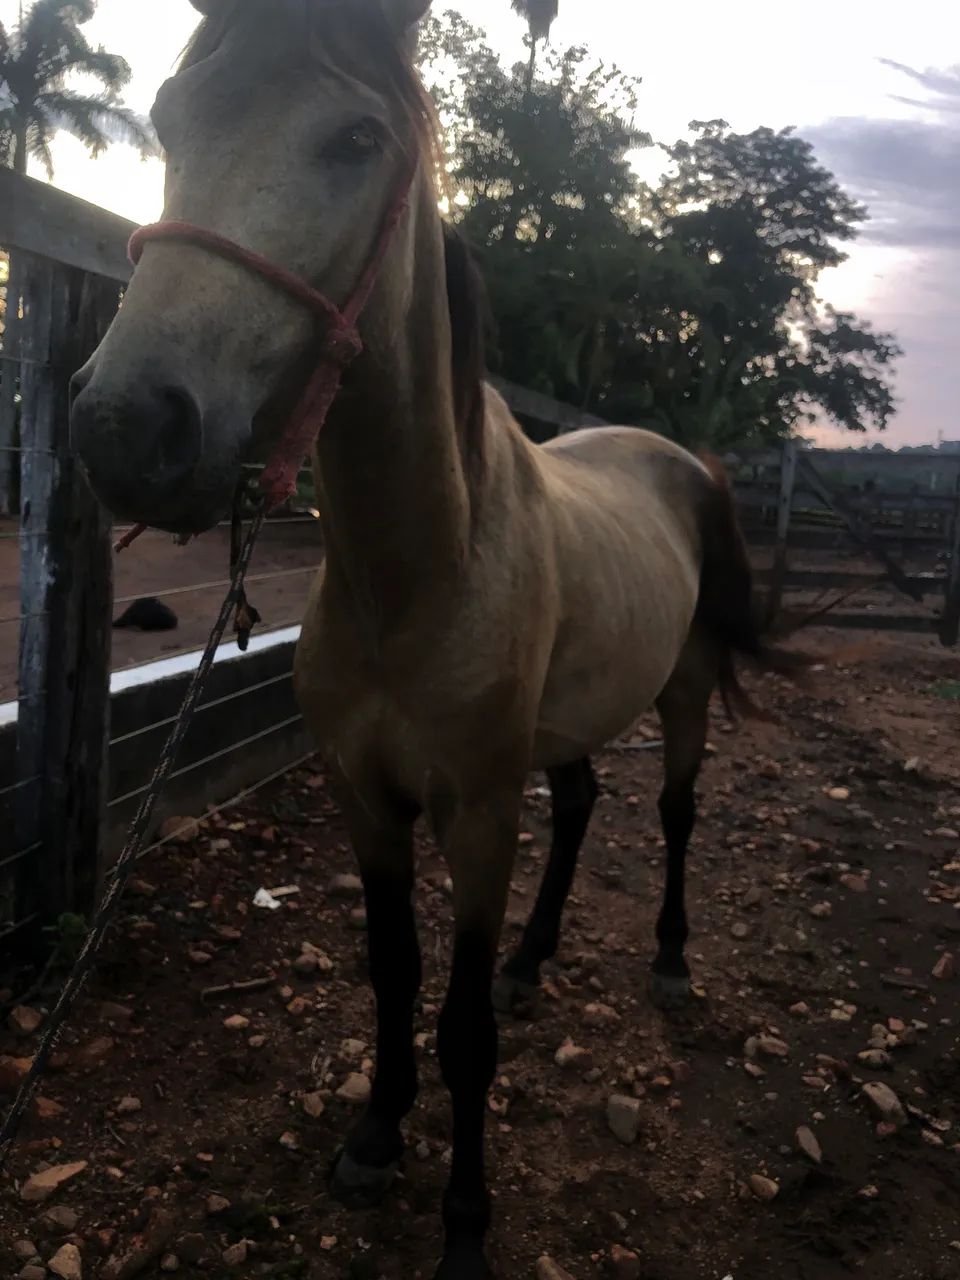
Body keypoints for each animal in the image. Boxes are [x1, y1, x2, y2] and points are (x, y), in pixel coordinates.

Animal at [70, 2, 805, 1274]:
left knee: (673, 814)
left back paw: (667, 958)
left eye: (358, 139)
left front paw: (464, 1217)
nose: (127, 427)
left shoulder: (477, 813)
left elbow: (459, 1026)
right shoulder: (368, 799)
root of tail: (685, 461)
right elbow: (393, 971)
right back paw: (531, 958)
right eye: (167, 116)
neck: (416, 576)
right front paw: (373, 1134)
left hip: (683, 695)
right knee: (583, 807)